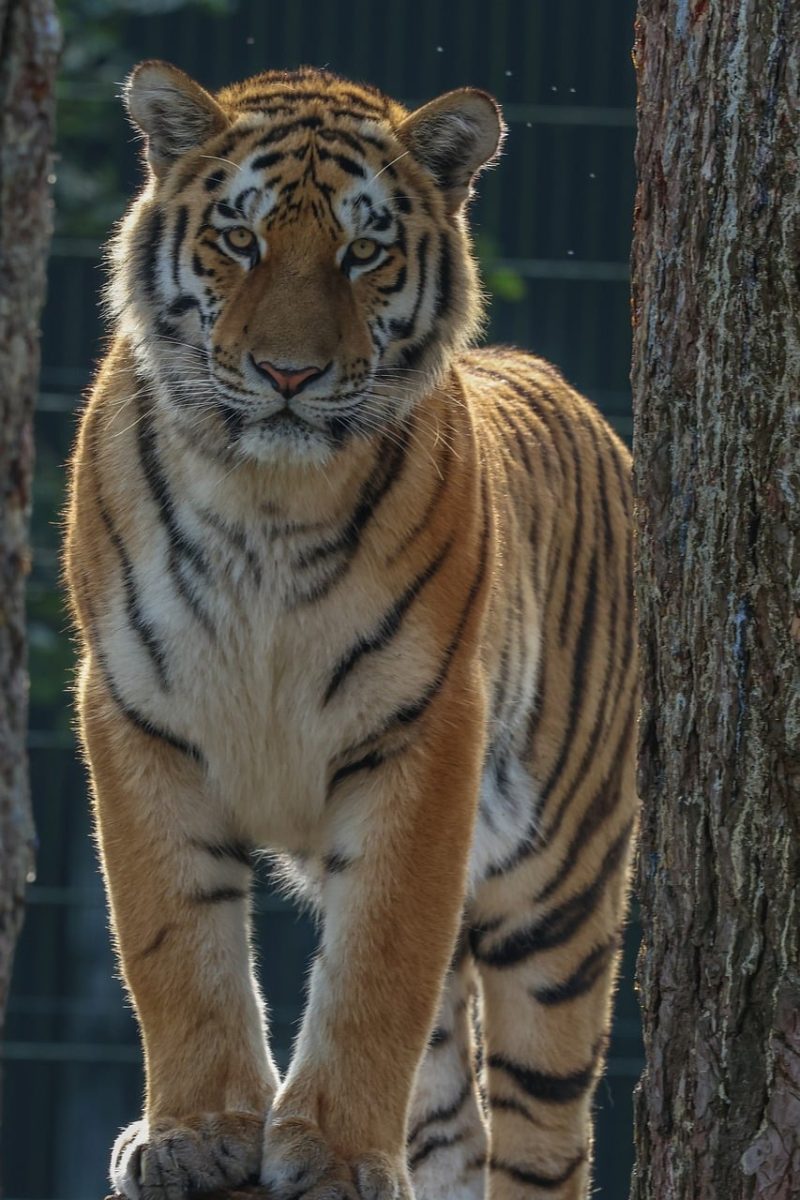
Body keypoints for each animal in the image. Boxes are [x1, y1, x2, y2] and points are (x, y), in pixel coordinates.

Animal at [64, 60, 637, 1200]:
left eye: (362, 251)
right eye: (238, 239)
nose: (287, 374)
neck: (264, 499)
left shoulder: (423, 731)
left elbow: (375, 970)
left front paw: (329, 1153)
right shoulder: (136, 712)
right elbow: (173, 945)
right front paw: (196, 1133)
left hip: (560, 894)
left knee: (542, 1136)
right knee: (454, 1123)